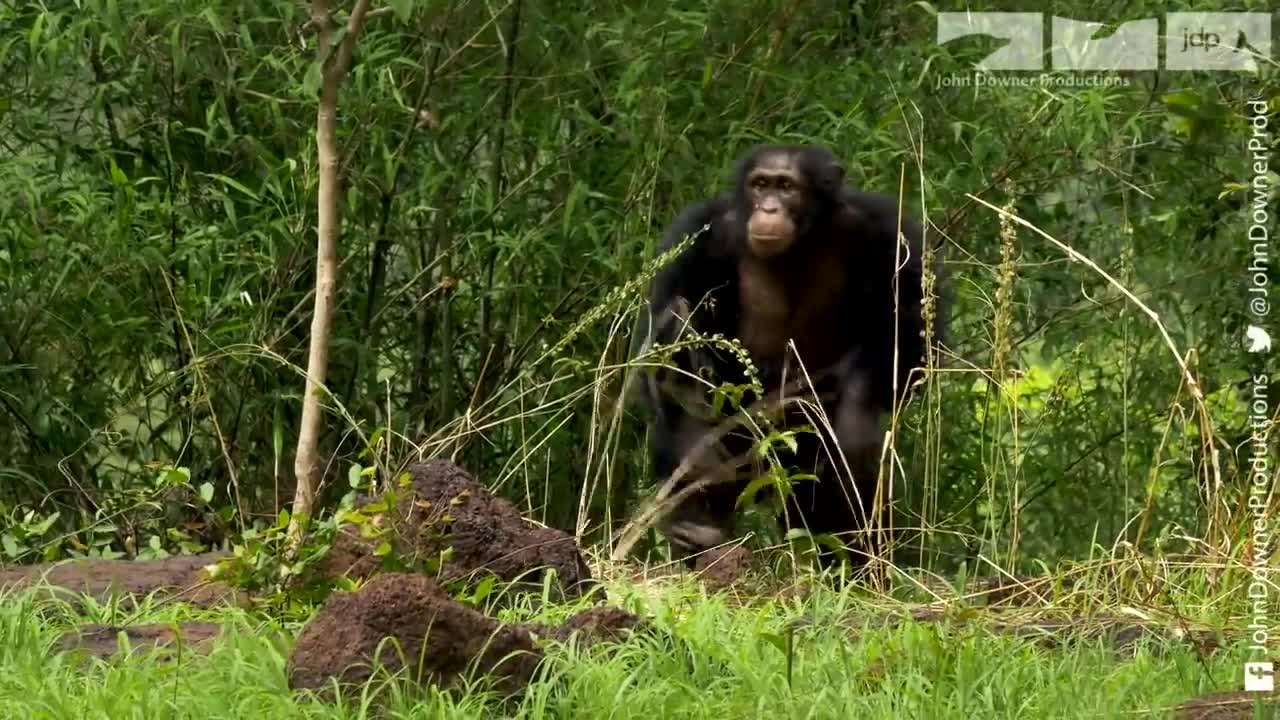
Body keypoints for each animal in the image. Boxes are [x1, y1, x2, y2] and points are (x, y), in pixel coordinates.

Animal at [645, 144, 936, 571]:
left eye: (786, 187)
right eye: (760, 184)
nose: (768, 207)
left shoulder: (886, 232)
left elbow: (911, 329)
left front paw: (853, 412)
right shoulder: (698, 236)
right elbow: (666, 343)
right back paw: (701, 536)